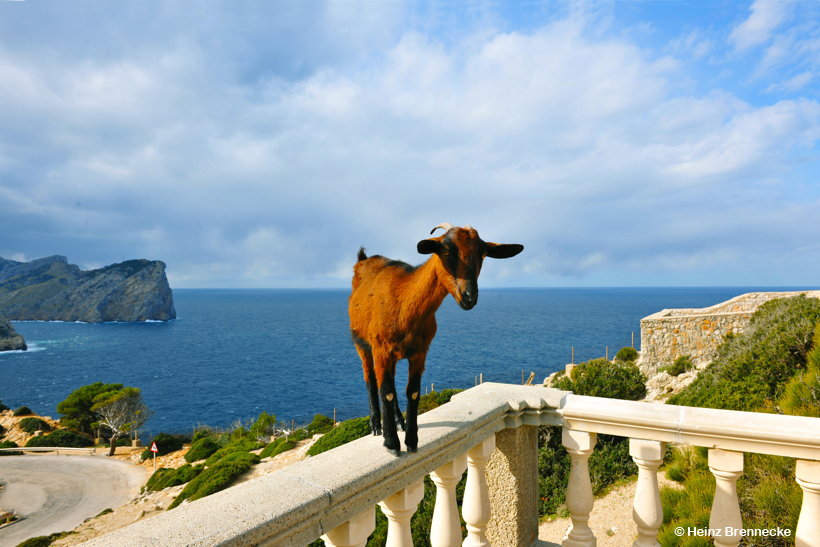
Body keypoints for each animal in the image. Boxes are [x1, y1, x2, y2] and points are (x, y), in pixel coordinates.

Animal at [350, 225, 524, 456]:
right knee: (370, 378)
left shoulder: (420, 352)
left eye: (483, 254)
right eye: (446, 251)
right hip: (361, 343)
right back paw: (376, 425)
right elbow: (385, 392)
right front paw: (392, 444)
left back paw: (399, 421)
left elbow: (413, 392)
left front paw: (412, 442)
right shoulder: (381, 349)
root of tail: (364, 259)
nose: (469, 296)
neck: (403, 302)